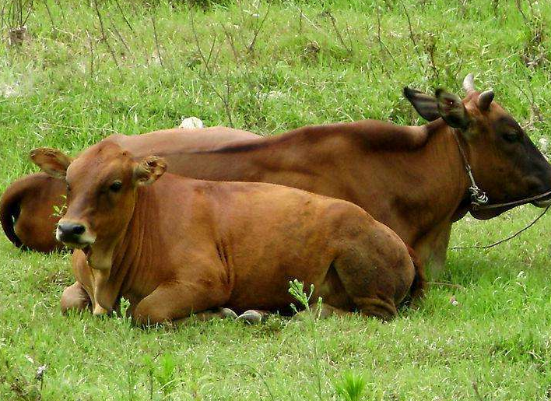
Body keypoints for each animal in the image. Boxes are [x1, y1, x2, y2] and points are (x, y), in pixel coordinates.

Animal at [30, 142, 418, 324]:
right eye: (69, 183)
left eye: (114, 184)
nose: (70, 229)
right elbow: (69, 301)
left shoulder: (206, 281)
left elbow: (147, 311)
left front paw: (218, 314)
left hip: (365, 277)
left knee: (372, 314)